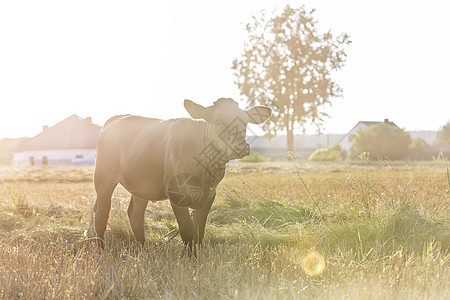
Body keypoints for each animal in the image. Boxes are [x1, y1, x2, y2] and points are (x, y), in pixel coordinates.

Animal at [92, 98, 270, 253]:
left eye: (245, 122)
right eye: (217, 122)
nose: (241, 147)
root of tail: (117, 118)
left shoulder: (210, 194)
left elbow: (199, 231)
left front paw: (196, 257)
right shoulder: (176, 192)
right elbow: (187, 229)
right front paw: (188, 258)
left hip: (142, 185)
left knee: (135, 216)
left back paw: (143, 250)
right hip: (103, 178)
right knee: (101, 214)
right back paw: (101, 251)